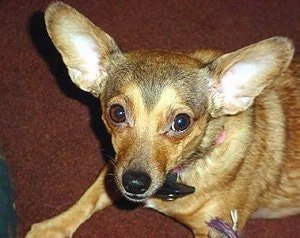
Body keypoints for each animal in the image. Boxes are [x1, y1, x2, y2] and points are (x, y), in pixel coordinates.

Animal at [26, 1, 300, 238]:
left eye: (181, 122)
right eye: (117, 113)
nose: (134, 184)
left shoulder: (217, 230)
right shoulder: (114, 169)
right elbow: (88, 199)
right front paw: (52, 227)